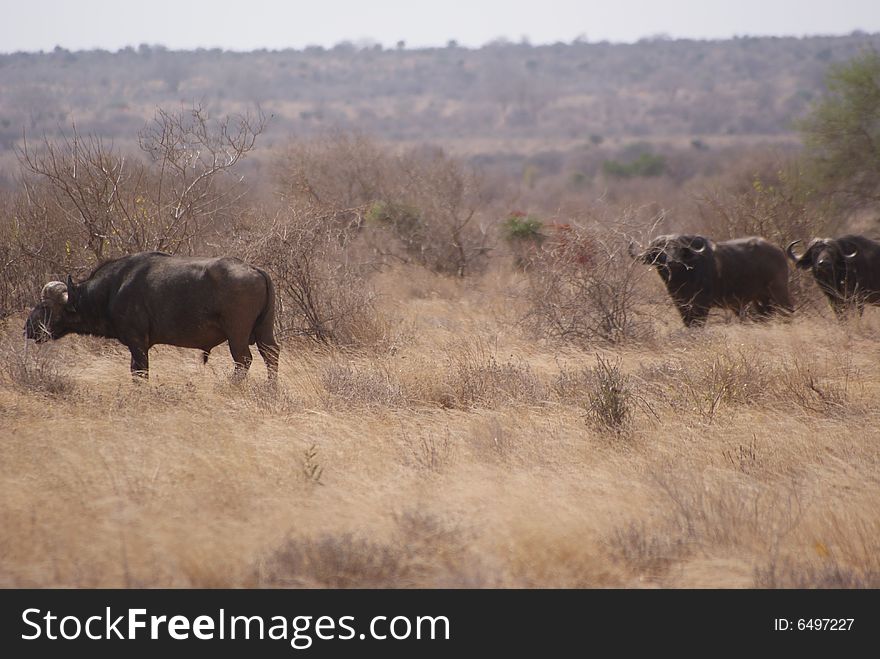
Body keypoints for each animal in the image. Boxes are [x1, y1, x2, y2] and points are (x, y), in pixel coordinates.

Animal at [24, 253, 278, 382]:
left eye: (45, 306)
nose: (27, 327)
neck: (112, 289)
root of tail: (255, 269)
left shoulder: (137, 342)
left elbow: (139, 372)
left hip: (237, 335)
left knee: (243, 360)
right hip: (264, 332)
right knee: (271, 356)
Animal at [628, 235, 796, 328]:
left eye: (680, 249)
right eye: (661, 250)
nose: (673, 262)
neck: (682, 279)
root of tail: (778, 251)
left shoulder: (702, 303)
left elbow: (698, 323)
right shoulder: (681, 303)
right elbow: (688, 322)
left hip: (779, 291)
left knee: (788, 311)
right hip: (760, 298)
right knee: (765, 315)